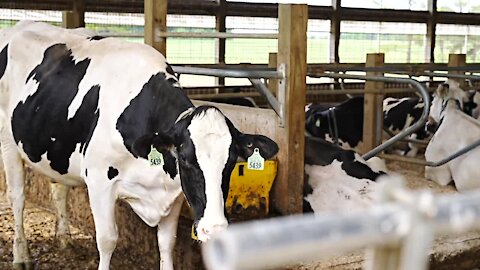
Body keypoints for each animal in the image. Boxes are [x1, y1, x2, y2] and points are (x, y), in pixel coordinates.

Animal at [0, 21, 278, 270]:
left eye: (231, 162)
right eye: (186, 159)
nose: (215, 229)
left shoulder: (173, 193)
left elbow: (166, 244)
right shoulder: (99, 181)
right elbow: (107, 240)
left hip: (55, 146)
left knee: (58, 188)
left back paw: (65, 239)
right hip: (8, 143)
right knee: (17, 197)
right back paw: (21, 256)